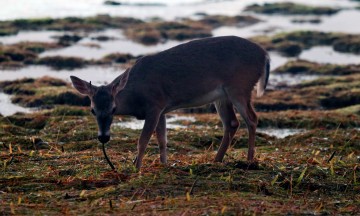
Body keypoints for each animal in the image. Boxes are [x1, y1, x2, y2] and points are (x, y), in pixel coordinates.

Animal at [70, 35, 268, 170]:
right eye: (93, 110)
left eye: (113, 108)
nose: (103, 137)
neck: (136, 95)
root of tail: (265, 55)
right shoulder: (163, 109)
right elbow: (162, 140)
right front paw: (163, 164)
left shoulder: (154, 105)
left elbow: (143, 140)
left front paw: (136, 168)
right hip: (222, 96)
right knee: (232, 123)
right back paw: (216, 160)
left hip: (239, 86)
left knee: (251, 118)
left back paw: (249, 159)